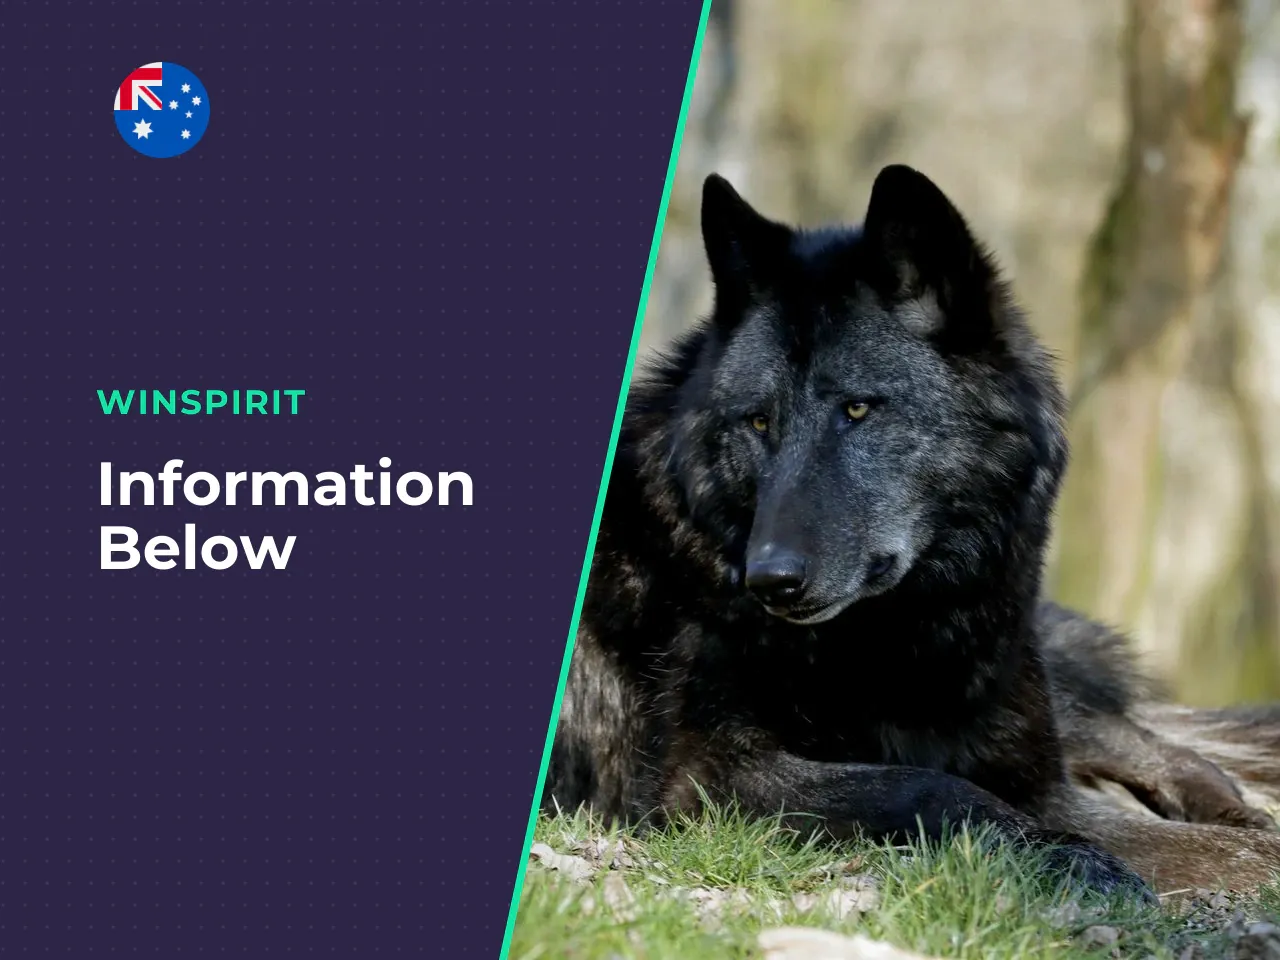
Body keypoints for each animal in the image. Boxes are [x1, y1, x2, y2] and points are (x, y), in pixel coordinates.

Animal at [545, 164, 1280, 896]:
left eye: (858, 409)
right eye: (758, 421)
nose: (769, 580)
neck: (895, 639)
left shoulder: (1038, 779)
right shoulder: (703, 780)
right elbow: (929, 786)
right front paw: (1068, 858)